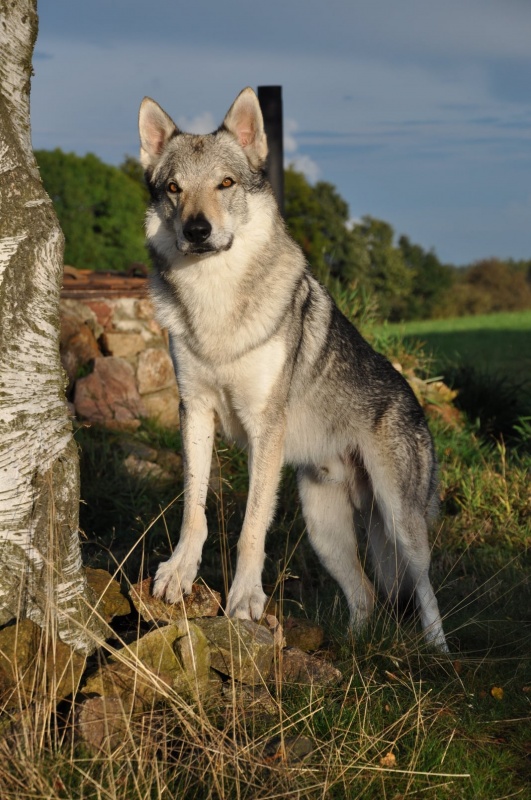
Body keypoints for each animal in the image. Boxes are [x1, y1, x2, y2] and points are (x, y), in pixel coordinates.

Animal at [137, 86, 448, 648]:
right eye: (173, 188)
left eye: (226, 183)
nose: (198, 230)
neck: (215, 305)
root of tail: (415, 401)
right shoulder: (194, 410)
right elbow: (194, 508)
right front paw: (178, 573)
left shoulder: (266, 428)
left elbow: (251, 528)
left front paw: (243, 601)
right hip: (324, 531)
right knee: (367, 597)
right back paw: (352, 646)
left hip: (400, 523)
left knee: (424, 590)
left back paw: (439, 654)